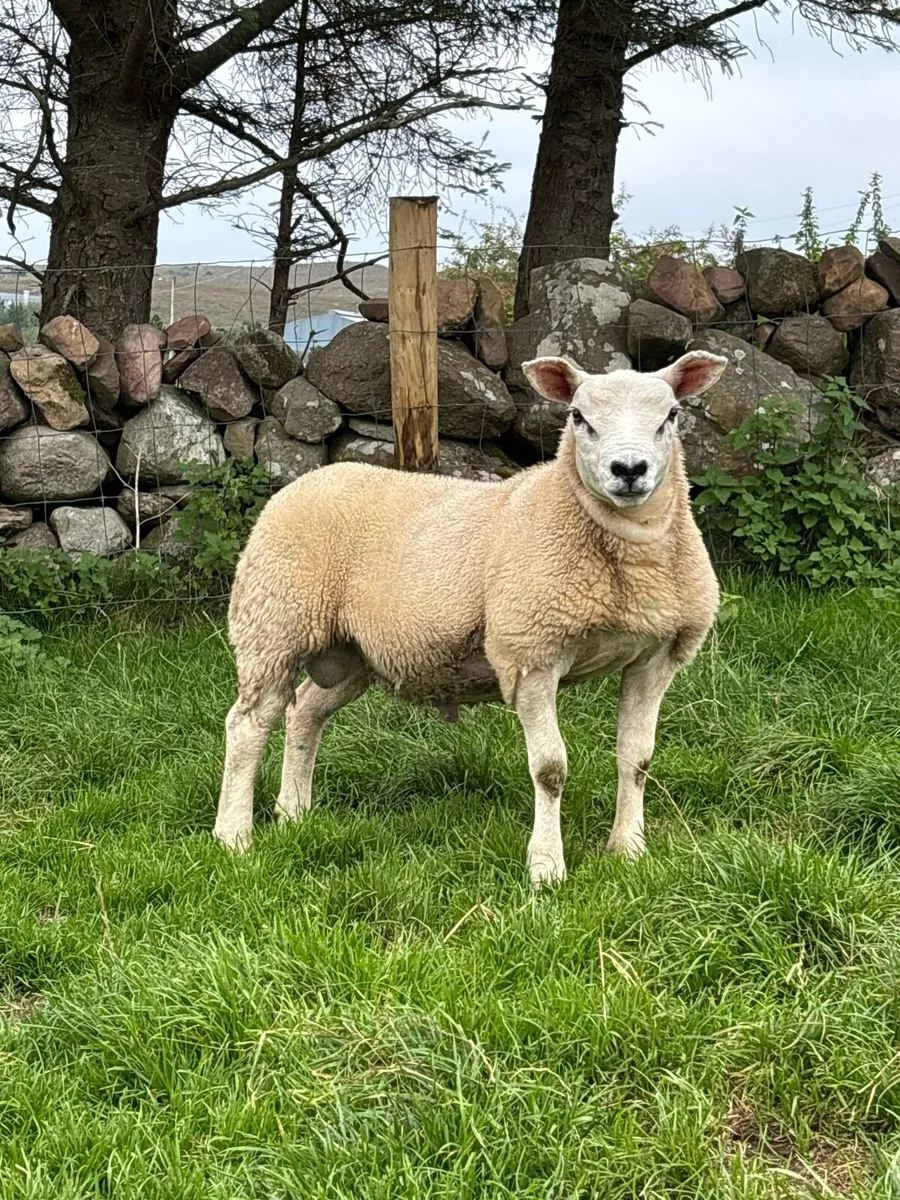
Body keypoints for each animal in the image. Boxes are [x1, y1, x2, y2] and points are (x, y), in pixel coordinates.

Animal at [215, 349, 727, 886]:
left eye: (671, 416)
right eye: (578, 418)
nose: (629, 469)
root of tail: (308, 479)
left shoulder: (657, 656)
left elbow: (637, 759)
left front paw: (628, 850)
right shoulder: (530, 653)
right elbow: (550, 769)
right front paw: (547, 867)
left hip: (354, 651)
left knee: (305, 711)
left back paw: (293, 812)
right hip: (274, 622)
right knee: (249, 724)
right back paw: (234, 834)